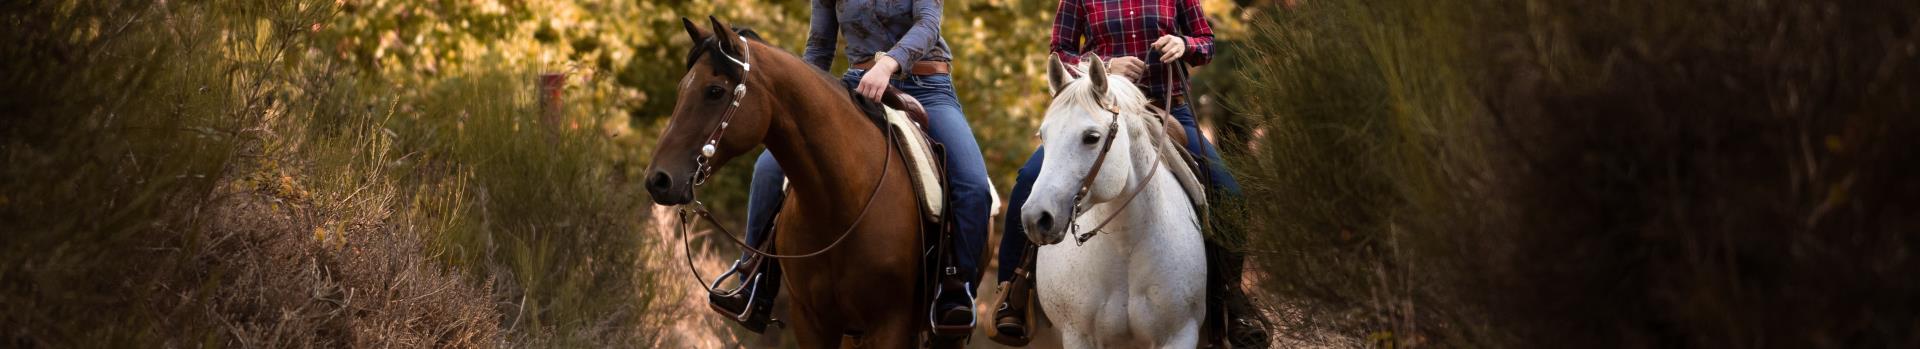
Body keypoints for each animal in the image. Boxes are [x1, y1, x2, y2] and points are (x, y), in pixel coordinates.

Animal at [645, 16, 929, 347]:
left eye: (714, 91)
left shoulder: (889, 324)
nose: (658, 180)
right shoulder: (811, 321)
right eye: (682, 88)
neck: (843, 204)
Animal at [1029, 53, 1205, 347]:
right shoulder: (1079, 336)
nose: (1034, 219)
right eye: (1043, 136)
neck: (1125, 243)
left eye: (1091, 137)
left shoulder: (1180, 334)